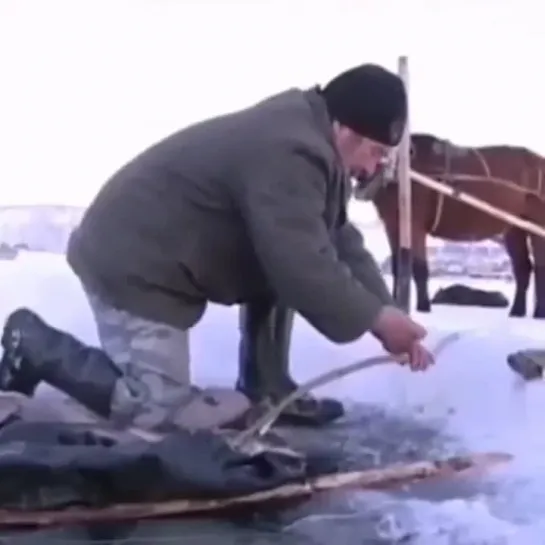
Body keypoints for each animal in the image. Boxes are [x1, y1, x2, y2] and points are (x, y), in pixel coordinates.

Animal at [354, 133, 544, 318]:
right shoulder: (393, 224)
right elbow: (397, 268)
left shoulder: (415, 225)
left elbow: (419, 267)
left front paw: (423, 306)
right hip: (515, 228)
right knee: (523, 267)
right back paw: (517, 310)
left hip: (537, 223)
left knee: (539, 265)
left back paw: (539, 312)